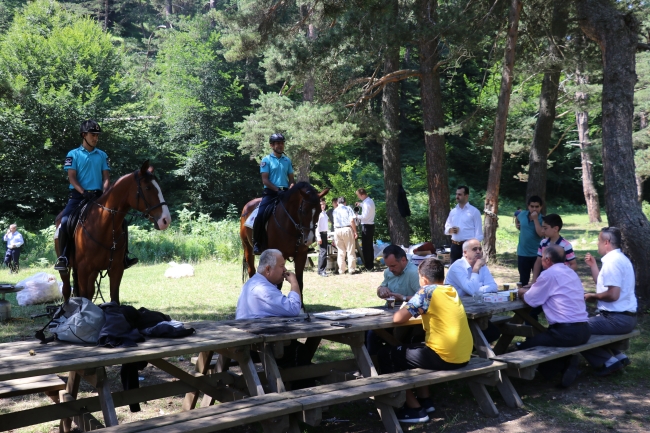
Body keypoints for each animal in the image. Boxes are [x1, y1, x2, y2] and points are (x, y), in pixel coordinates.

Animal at [55, 159, 171, 304]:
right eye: (148, 188)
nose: (166, 220)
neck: (103, 225)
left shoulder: (116, 269)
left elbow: (114, 298)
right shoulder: (83, 270)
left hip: (93, 271)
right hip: (68, 268)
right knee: (66, 290)